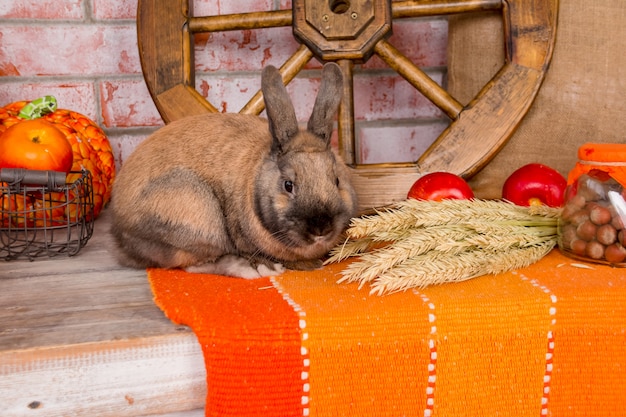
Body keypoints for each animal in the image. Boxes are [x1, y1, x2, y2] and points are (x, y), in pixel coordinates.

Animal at [108, 63, 356, 278]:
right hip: (200, 216)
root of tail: (120, 231)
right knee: (193, 264)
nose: (321, 228)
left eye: (336, 180)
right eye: (288, 185)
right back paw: (252, 269)